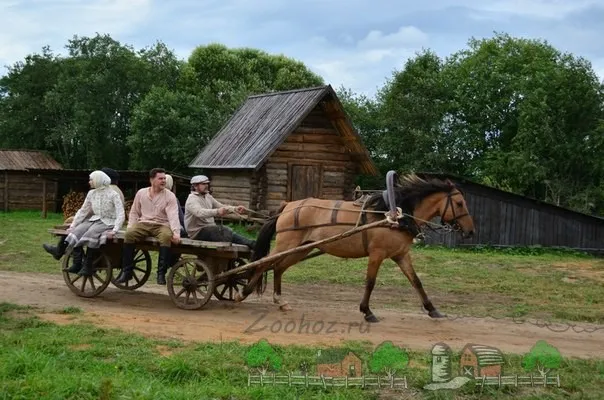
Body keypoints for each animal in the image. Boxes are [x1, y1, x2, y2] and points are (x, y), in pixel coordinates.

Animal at [236, 172, 476, 322]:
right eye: (459, 203)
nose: (471, 231)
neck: (394, 214)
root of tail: (288, 206)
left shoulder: (400, 255)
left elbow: (416, 281)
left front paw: (433, 310)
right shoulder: (377, 254)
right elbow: (370, 282)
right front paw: (367, 311)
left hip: (301, 248)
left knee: (278, 268)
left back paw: (280, 301)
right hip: (287, 244)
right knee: (263, 264)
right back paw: (243, 293)